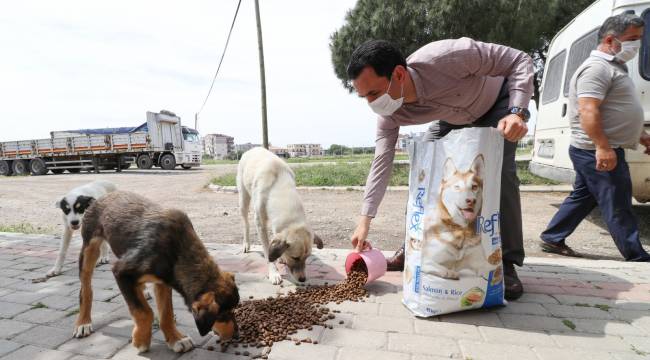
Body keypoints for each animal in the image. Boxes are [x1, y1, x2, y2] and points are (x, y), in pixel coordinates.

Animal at [71, 191, 238, 354]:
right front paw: (141, 340)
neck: (179, 252)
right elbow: (144, 311)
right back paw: (83, 322)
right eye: (222, 315)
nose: (236, 335)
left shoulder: (163, 281)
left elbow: (166, 314)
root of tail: (97, 199)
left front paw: (176, 339)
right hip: (89, 248)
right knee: (86, 289)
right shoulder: (121, 272)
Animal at [235, 146, 322, 284]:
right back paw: (246, 244)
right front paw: (274, 273)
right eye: (295, 257)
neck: (279, 186)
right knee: (245, 223)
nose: (303, 279)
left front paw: (280, 257)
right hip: (243, 199)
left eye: (307, 257)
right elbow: (267, 251)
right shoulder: (260, 224)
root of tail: (253, 148)